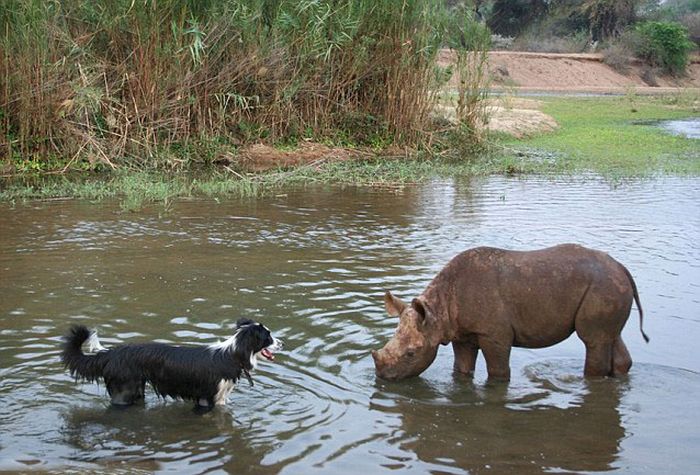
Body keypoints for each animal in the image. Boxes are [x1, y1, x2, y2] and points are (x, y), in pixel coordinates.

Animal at [60, 320, 282, 410]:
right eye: (268, 336)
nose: (282, 343)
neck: (232, 354)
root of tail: (110, 354)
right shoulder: (206, 399)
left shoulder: (221, 399)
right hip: (124, 392)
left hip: (137, 390)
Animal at [372, 245, 652, 384]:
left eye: (411, 353)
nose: (382, 377)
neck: (438, 311)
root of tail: (622, 268)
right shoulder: (461, 333)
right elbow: (461, 368)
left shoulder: (494, 335)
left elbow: (497, 371)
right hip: (609, 286)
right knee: (611, 336)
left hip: (603, 286)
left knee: (593, 339)